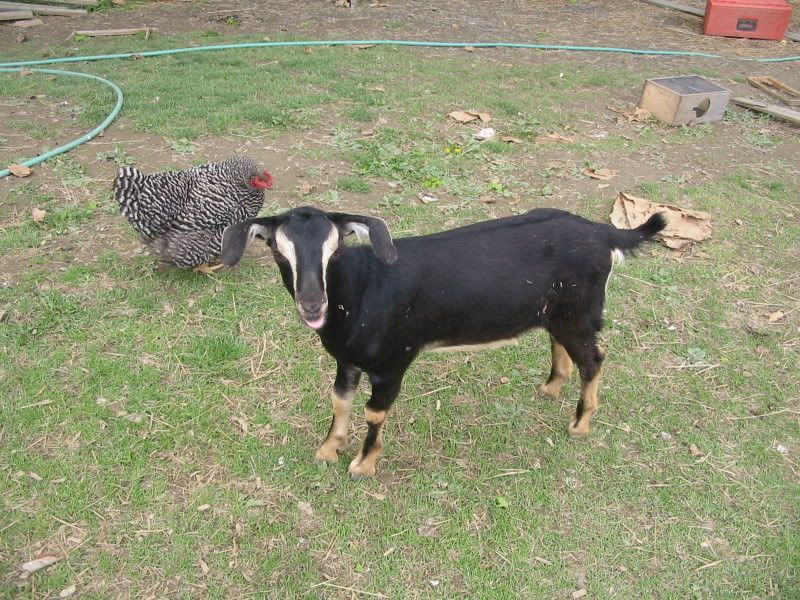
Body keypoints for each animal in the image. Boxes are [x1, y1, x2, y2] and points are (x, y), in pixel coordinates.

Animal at [222, 207, 666, 478]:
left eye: (335, 251)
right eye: (279, 252)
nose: (312, 303)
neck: (362, 290)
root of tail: (604, 233)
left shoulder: (392, 361)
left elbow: (374, 413)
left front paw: (363, 465)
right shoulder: (347, 359)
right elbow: (339, 400)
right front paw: (328, 449)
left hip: (579, 311)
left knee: (594, 358)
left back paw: (581, 423)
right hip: (557, 311)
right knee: (564, 346)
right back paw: (552, 386)